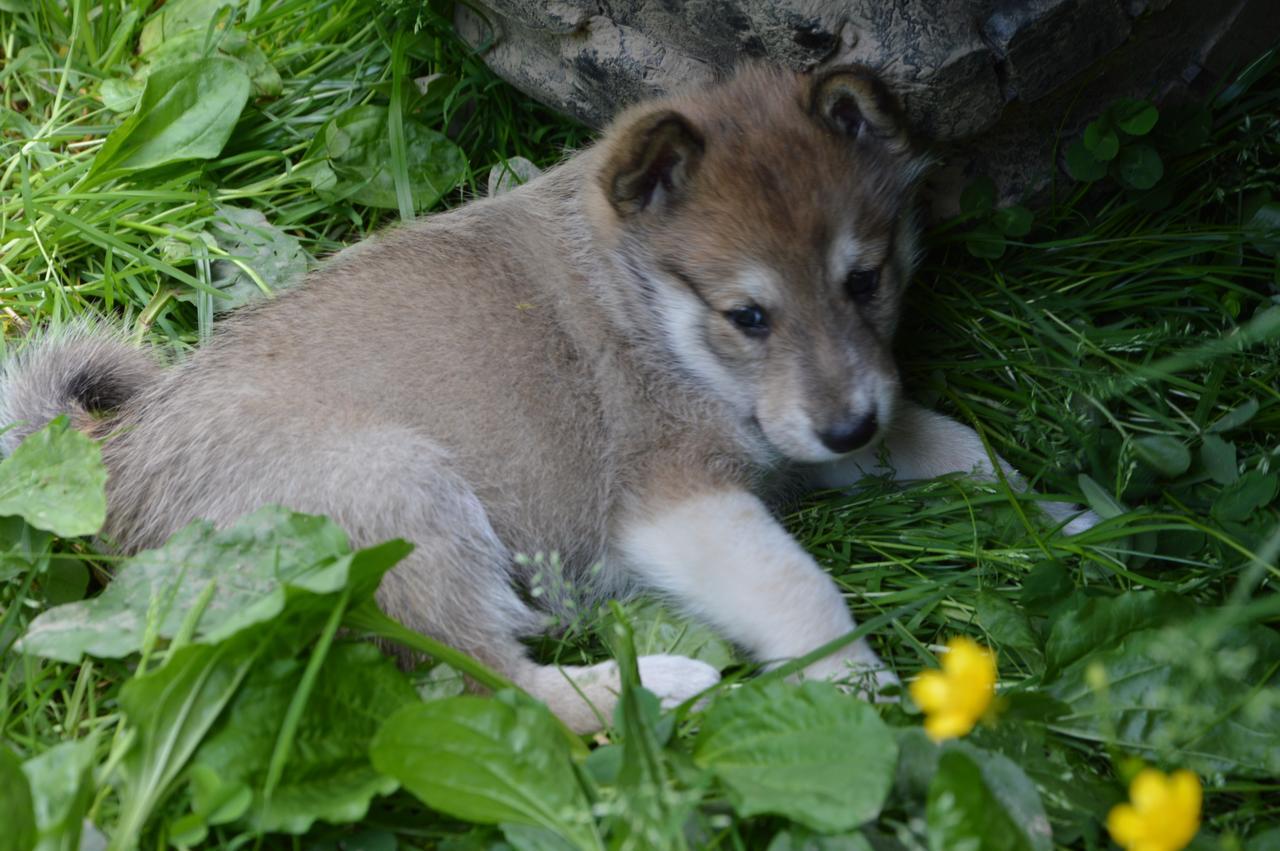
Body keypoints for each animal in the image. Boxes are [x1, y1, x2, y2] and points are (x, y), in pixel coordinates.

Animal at [5, 64, 1095, 731]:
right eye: (747, 314)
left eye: (865, 279)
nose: (847, 424)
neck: (646, 304)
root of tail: (114, 465)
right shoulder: (676, 502)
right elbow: (798, 586)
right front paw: (861, 683)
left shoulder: (807, 432)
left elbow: (952, 443)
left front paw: (1063, 515)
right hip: (399, 497)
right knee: (492, 685)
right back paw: (668, 683)